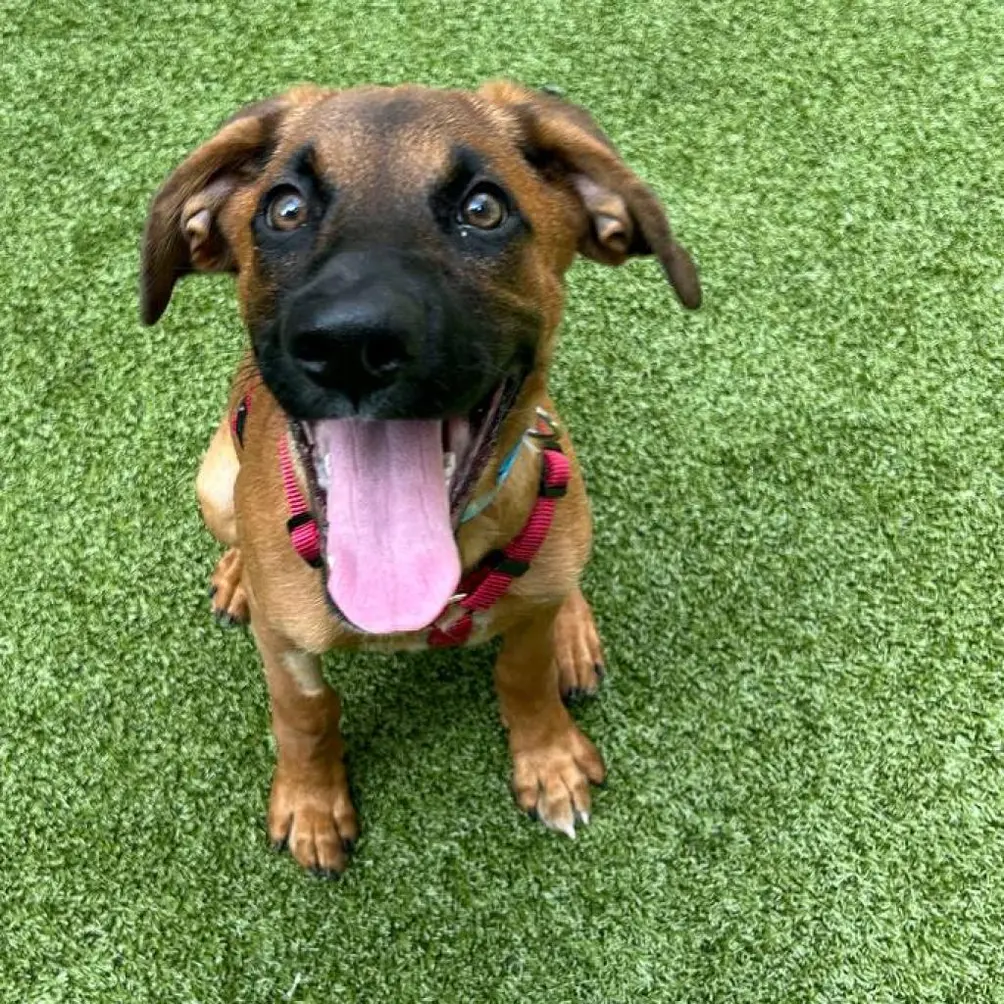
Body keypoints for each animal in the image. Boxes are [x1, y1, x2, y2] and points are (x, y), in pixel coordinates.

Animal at [139, 82, 698, 875]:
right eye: (285, 209)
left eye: (483, 208)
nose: (351, 344)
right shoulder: (285, 649)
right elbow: (304, 713)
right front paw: (313, 805)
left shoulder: (527, 614)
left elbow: (523, 674)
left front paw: (550, 759)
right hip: (214, 480)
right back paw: (237, 575)